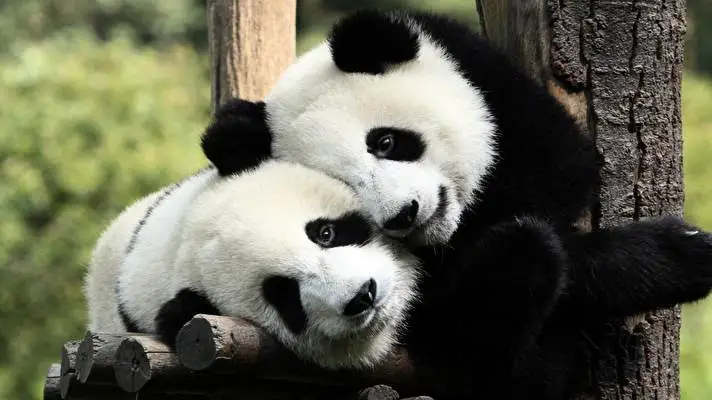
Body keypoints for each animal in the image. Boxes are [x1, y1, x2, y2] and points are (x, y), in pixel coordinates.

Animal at [199, 9, 712, 399]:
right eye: (347, 186)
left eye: (386, 142)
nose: (403, 215)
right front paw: (678, 254)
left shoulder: (494, 88)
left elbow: (562, 174)